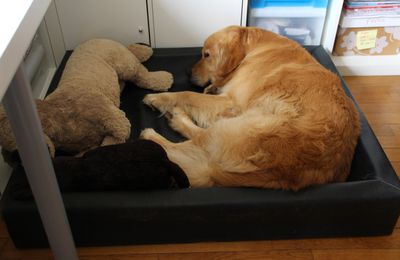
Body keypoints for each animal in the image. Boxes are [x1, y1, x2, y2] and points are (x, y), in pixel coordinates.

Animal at [141, 25, 360, 190]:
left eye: (207, 55)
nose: (187, 72)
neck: (255, 49)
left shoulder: (232, 103)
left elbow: (186, 94)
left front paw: (158, 98)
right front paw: (211, 87)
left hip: (242, 125)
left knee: (188, 144)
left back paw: (160, 129)